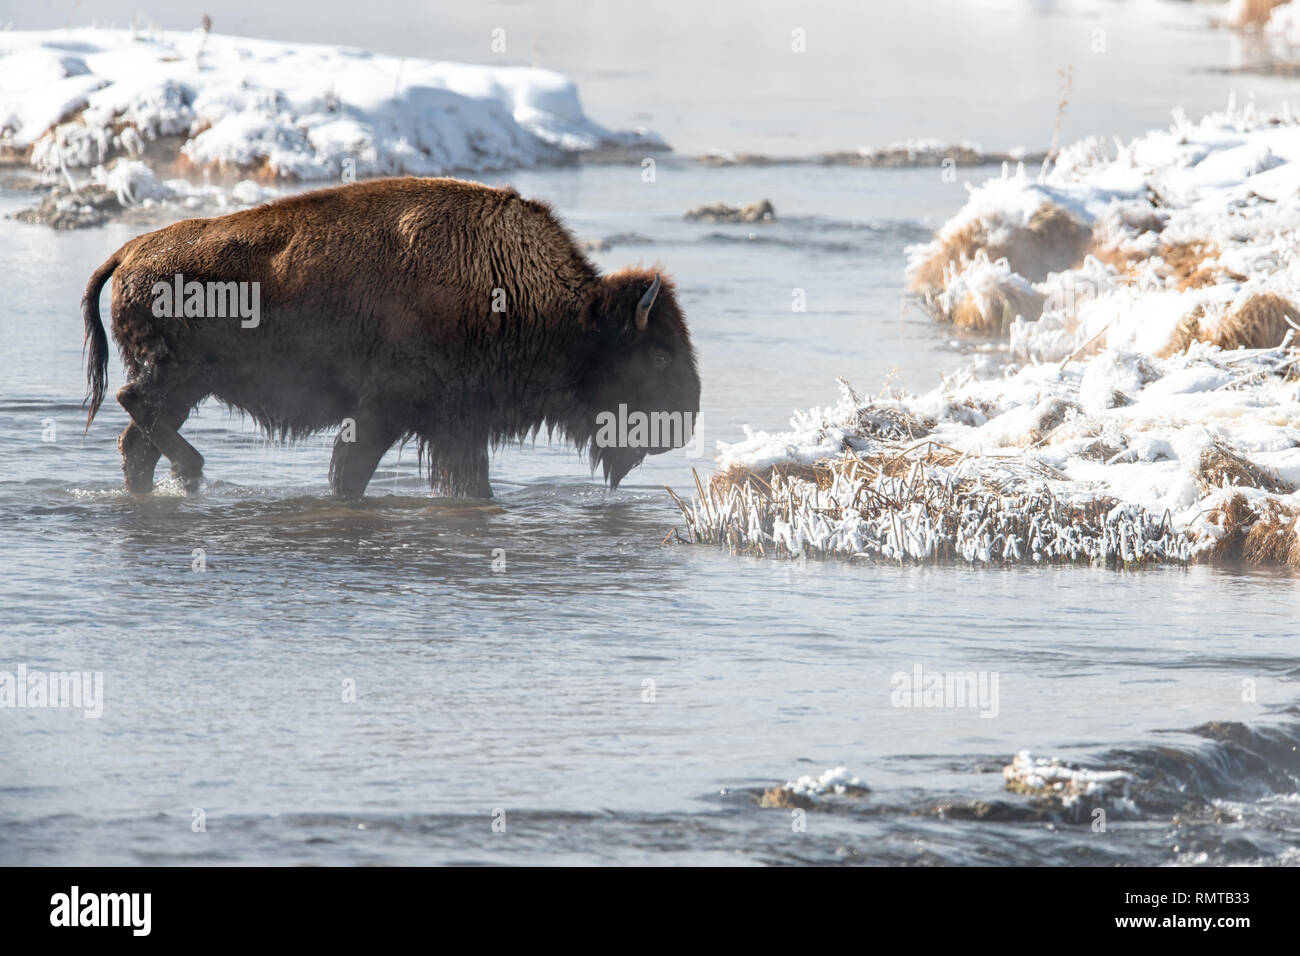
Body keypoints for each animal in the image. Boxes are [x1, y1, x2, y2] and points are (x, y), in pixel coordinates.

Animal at [81, 177, 701, 498]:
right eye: (660, 354)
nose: (686, 419)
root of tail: (129, 251)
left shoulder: (460, 428)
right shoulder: (385, 412)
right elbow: (350, 470)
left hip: (186, 388)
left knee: (136, 441)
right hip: (178, 377)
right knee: (135, 406)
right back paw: (193, 471)